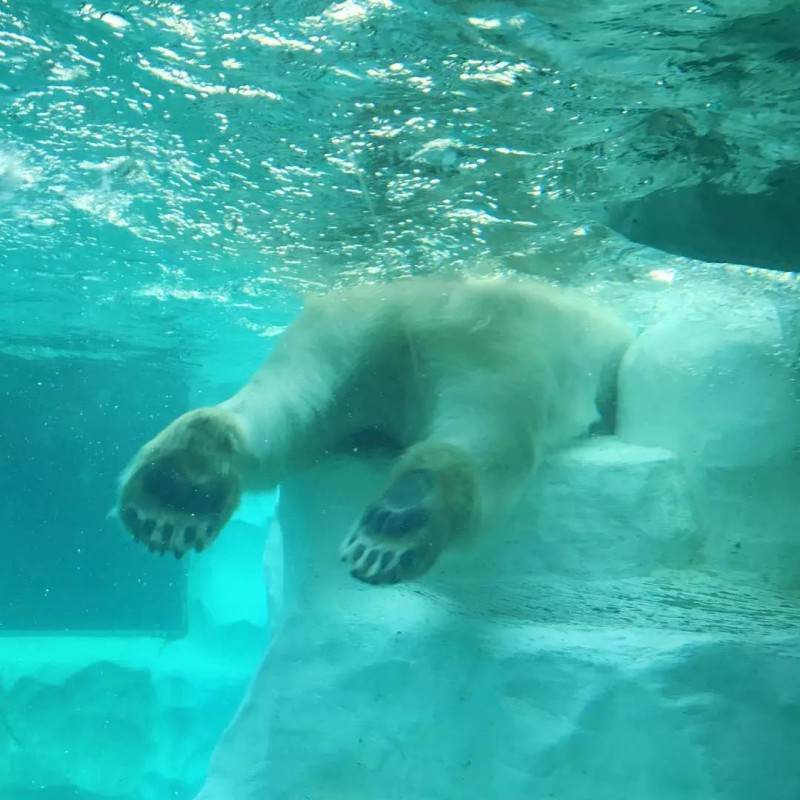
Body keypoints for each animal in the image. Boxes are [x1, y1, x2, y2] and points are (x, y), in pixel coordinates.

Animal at [115, 278, 636, 584]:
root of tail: (422, 304)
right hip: (514, 346)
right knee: (497, 436)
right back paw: (401, 523)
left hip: (330, 342)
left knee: (285, 412)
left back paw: (176, 490)